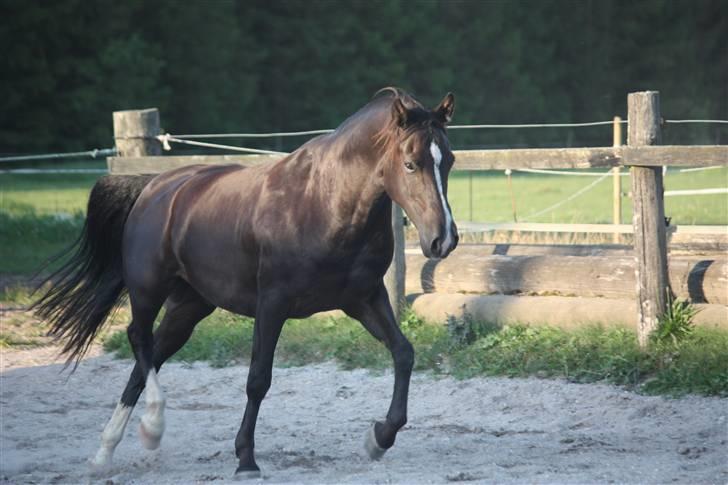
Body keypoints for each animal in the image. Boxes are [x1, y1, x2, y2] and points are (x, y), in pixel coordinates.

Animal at [34, 88, 458, 476]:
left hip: (189, 306)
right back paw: (152, 426)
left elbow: (403, 353)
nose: (444, 240)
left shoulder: (364, 298)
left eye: (449, 160)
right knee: (138, 338)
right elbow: (258, 379)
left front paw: (378, 438)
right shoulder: (272, 303)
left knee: (149, 358)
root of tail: (154, 187)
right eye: (410, 164)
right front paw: (245, 460)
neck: (324, 202)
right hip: (147, 288)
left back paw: (105, 453)